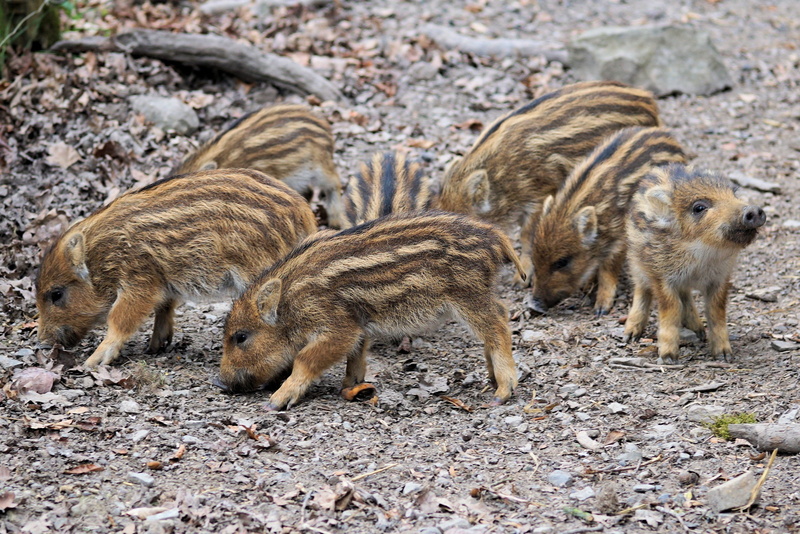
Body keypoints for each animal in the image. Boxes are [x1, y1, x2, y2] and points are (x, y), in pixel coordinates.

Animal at [36, 169, 318, 368]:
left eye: (56, 294)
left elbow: (119, 318)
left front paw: (94, 361)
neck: (102, 256)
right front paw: (156, 346)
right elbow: (165, 306)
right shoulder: (163, 281)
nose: (43, 343)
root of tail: (304, 212)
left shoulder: (139, 281)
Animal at [217, 211, 527, 410]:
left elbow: (305, 358)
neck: (291, 301)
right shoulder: (358, 322)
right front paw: (352, 386)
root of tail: (495, 236)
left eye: (241, 337)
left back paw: (502, 392)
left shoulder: (337, 325)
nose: (220, 383)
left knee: (499, 322)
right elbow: (356, 355)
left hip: (468, 295)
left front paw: (276, 402)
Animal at [529, 127, 687, 315]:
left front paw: (601, 308)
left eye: (562, 262)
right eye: (533, 257)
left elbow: (608, 270)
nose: (534, 305)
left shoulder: (620, 238)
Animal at [623, 164, 766, 362]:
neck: (702, 255)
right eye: (699, 207)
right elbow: (671, 310)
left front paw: (724, 356)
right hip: (637, 263)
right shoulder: (661, 275)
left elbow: (716, 311)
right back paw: (630, 336)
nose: (753, 210)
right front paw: (668, 358)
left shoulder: (721, 277)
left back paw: (698, 331)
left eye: (734, 194)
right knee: (642, 289)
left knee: (685, 294)